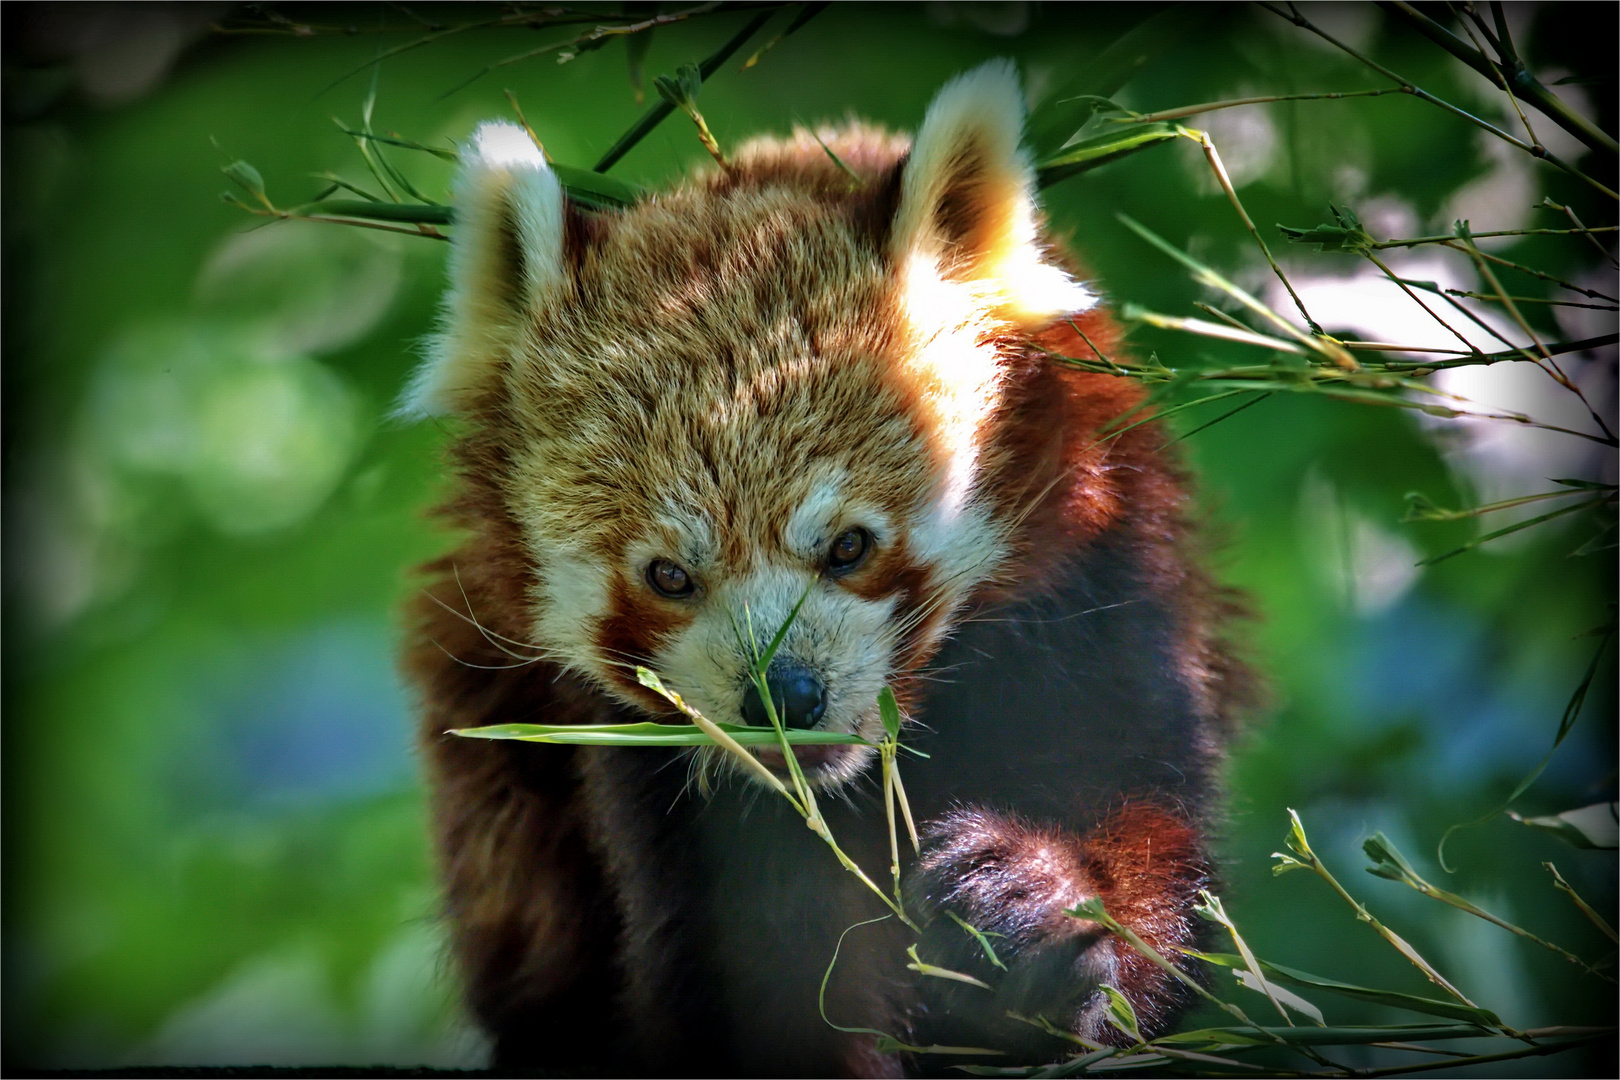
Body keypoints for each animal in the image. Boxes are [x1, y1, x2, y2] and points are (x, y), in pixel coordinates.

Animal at [401, 63, 1250, 1075]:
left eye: (849, 545)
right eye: (668, 576)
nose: (784, 696)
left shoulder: (1097, 590)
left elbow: (1137, 819)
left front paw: (1040, 916)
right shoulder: (647, 779)